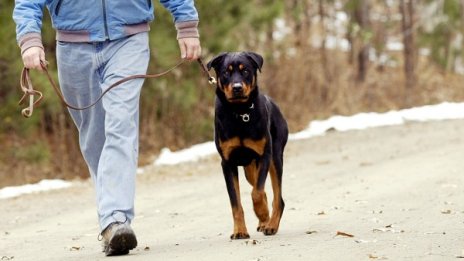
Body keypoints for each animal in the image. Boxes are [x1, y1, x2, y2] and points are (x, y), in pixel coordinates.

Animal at [208, 50, 288, 238]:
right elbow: (235, 203)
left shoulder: (264, 155)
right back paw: (264, 222)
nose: (237, 88)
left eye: (245, 71)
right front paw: (239, 231)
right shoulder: (227, 163)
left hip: (275, 158)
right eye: (226, 72)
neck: (240, 112)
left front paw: (262, 213)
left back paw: (270, 224)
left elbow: (257, 193)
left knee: (277, 198)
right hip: (249, 169)